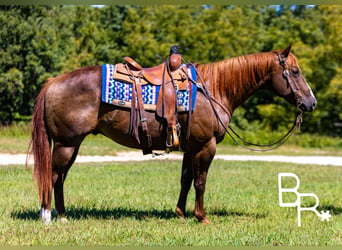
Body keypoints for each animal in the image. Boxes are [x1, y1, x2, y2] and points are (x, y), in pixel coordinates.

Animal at [28, 45, 316, 225]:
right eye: (295, 72)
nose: (311, 103)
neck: (214, 88)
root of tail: (53, 81)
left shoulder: (191, 147)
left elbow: (186, 180)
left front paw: (180, 213)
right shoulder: (206, 146)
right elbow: (201, 181)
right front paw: (201, 216)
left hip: (72, 145)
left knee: (60, 178)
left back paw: (63, 215)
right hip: (66, 144)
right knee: (53, 176)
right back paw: (47, 216)